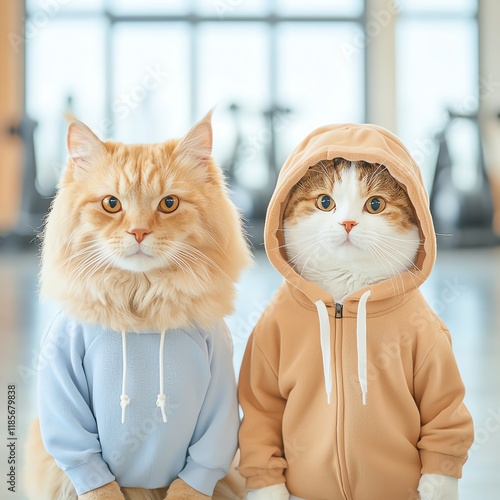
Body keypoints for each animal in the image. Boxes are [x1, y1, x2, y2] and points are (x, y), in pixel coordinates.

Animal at [24, 113, 249, 500]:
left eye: (169, 203)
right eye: (111, 204)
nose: (139, 232)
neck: (142, 310)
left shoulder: (219, 401)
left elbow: (193, 481)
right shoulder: (65, 396)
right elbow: (97, 482)